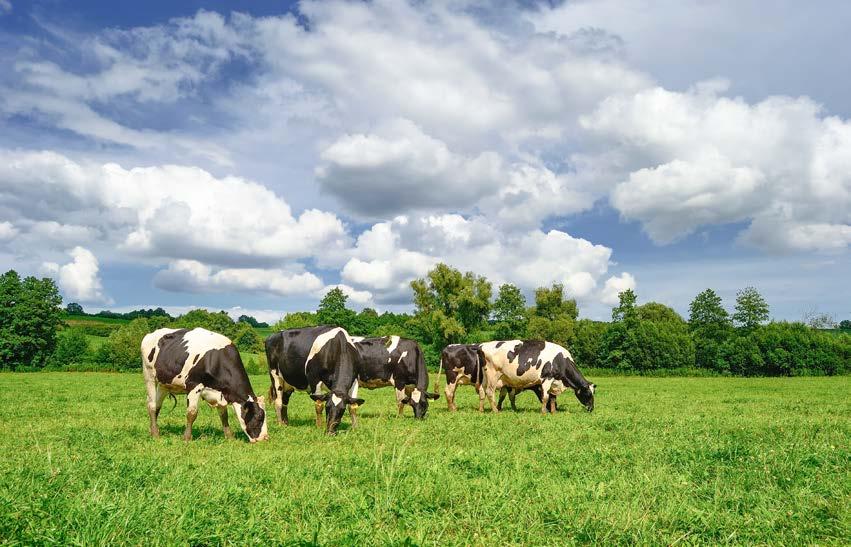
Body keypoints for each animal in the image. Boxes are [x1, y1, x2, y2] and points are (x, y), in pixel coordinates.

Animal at [142, 328, 270, 444]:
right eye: (259, 417)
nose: (265, 438)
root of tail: (151, 334)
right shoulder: (194, 385)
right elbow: (192, 413)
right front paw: (187, 438)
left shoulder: (220, 393)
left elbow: (224, 415)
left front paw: (230, 437)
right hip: (149, 375)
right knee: (152, 405)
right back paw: (155, 434)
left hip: (164, 384)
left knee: (157, 406)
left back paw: (152, 430)